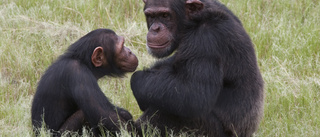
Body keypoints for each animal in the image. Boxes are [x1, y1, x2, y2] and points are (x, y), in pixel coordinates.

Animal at [131, 0, 264, 137]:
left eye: (165, 15)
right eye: (151, 16)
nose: (155, 29)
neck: (195, 21)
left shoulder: (206, 40)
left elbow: (193, 93)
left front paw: (137, 79)